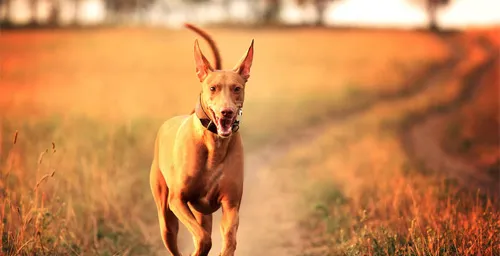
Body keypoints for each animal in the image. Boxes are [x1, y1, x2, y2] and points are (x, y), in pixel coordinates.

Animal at [148, 22, 252, 256]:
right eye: (213, 88)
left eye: (237, 88)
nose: (226, 112)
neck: (214, 145)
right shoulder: (177, 200)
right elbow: (204, 239)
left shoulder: (231, 204)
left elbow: (229, 241)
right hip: (167, 220)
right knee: (175, 239)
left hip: (203, 214)